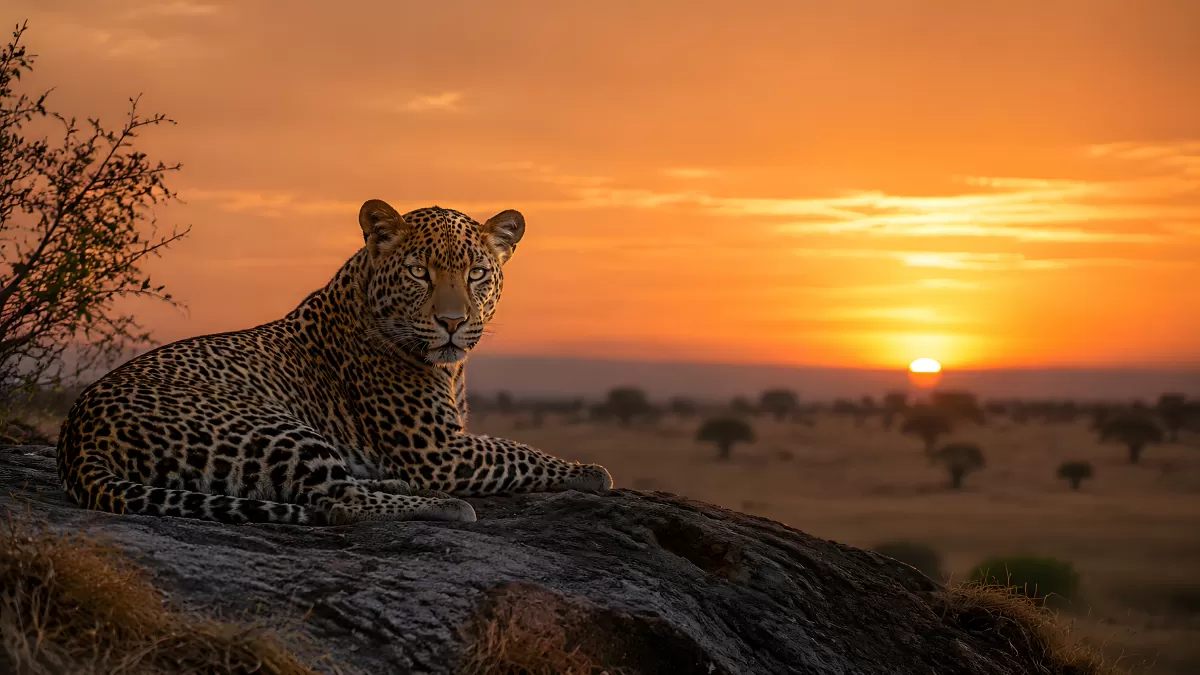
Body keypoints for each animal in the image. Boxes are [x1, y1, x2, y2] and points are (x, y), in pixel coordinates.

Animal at [56, 199, 613, 525]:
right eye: (419, 272)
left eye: (476, 273)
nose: (453, 322)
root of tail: (76, 437)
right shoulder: (438, 451)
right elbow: (517, 451)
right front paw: (589, 470)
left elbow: (511, 448)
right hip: (271, 425)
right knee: (336, 502)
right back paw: (446, 506)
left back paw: (391, 481)